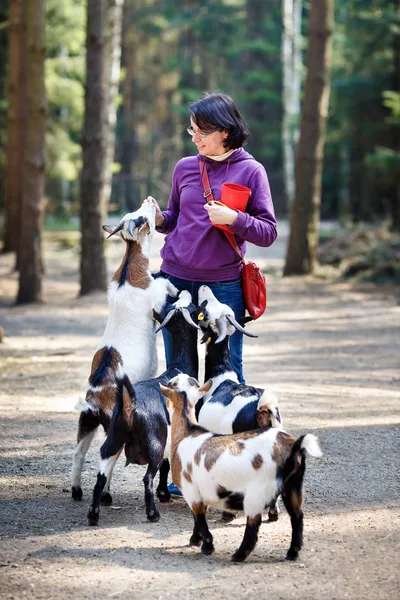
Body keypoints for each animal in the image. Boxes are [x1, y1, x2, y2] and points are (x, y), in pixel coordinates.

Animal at [86, 288, 202, 524]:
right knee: (147, 476)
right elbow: (166, 464)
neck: (179, 368)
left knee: (101, 475)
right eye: (193, 309)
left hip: (114, 437)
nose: (185, 290)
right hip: (153, 442)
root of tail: (131, 403)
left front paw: (164, 493)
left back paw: (93, 514)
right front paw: (164, 494)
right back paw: (152, 513)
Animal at [159, 380, 322, 564]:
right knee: (297, 516)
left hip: (257, 491)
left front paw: (206, 546)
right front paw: (196, 539)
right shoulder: (202, 492)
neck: (187, 433)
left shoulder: (191, 490)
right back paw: (292, 553)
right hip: (293, 485)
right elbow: (198, 517)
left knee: (254, 523)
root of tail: (295, 446)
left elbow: (199, 518)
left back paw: (239, 554)